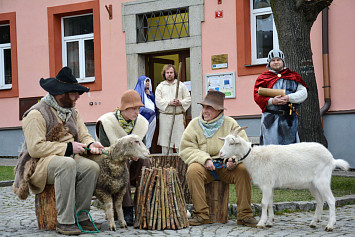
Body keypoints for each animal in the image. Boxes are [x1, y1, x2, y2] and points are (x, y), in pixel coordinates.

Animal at [220, 127, 350, 231]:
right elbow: (270, 203)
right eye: (225, 141)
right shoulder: (270, 185)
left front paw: (261, 223)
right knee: (320, 200)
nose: (220, 153)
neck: (254, 157)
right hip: (312, 184)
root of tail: (332, 159)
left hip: (322, 181)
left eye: (232, 143)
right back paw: (314, 222)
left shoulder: (266, 184)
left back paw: (330, 225)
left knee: (331, 200)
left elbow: (264, 203)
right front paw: (270, 222)